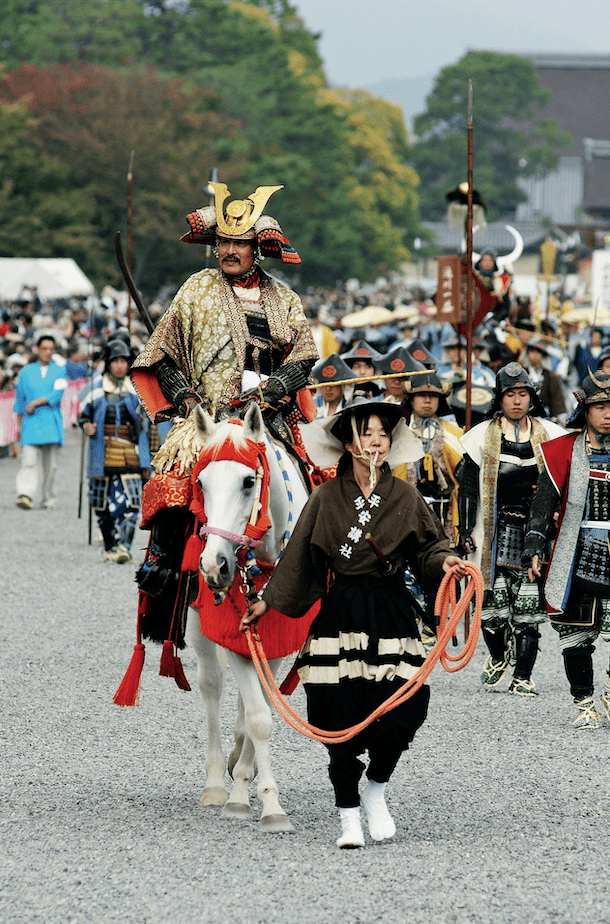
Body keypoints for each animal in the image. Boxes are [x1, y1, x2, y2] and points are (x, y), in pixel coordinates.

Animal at [184, 400, 308, 832]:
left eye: (248, 482)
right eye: (201, 483)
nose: (213, 566)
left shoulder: (280, 639)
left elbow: (262, 711)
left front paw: (256, 787)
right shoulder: (233, 632)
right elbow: (257, 717)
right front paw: (251, 801)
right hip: (198, 626)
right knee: (212, 685)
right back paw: (215, 783)